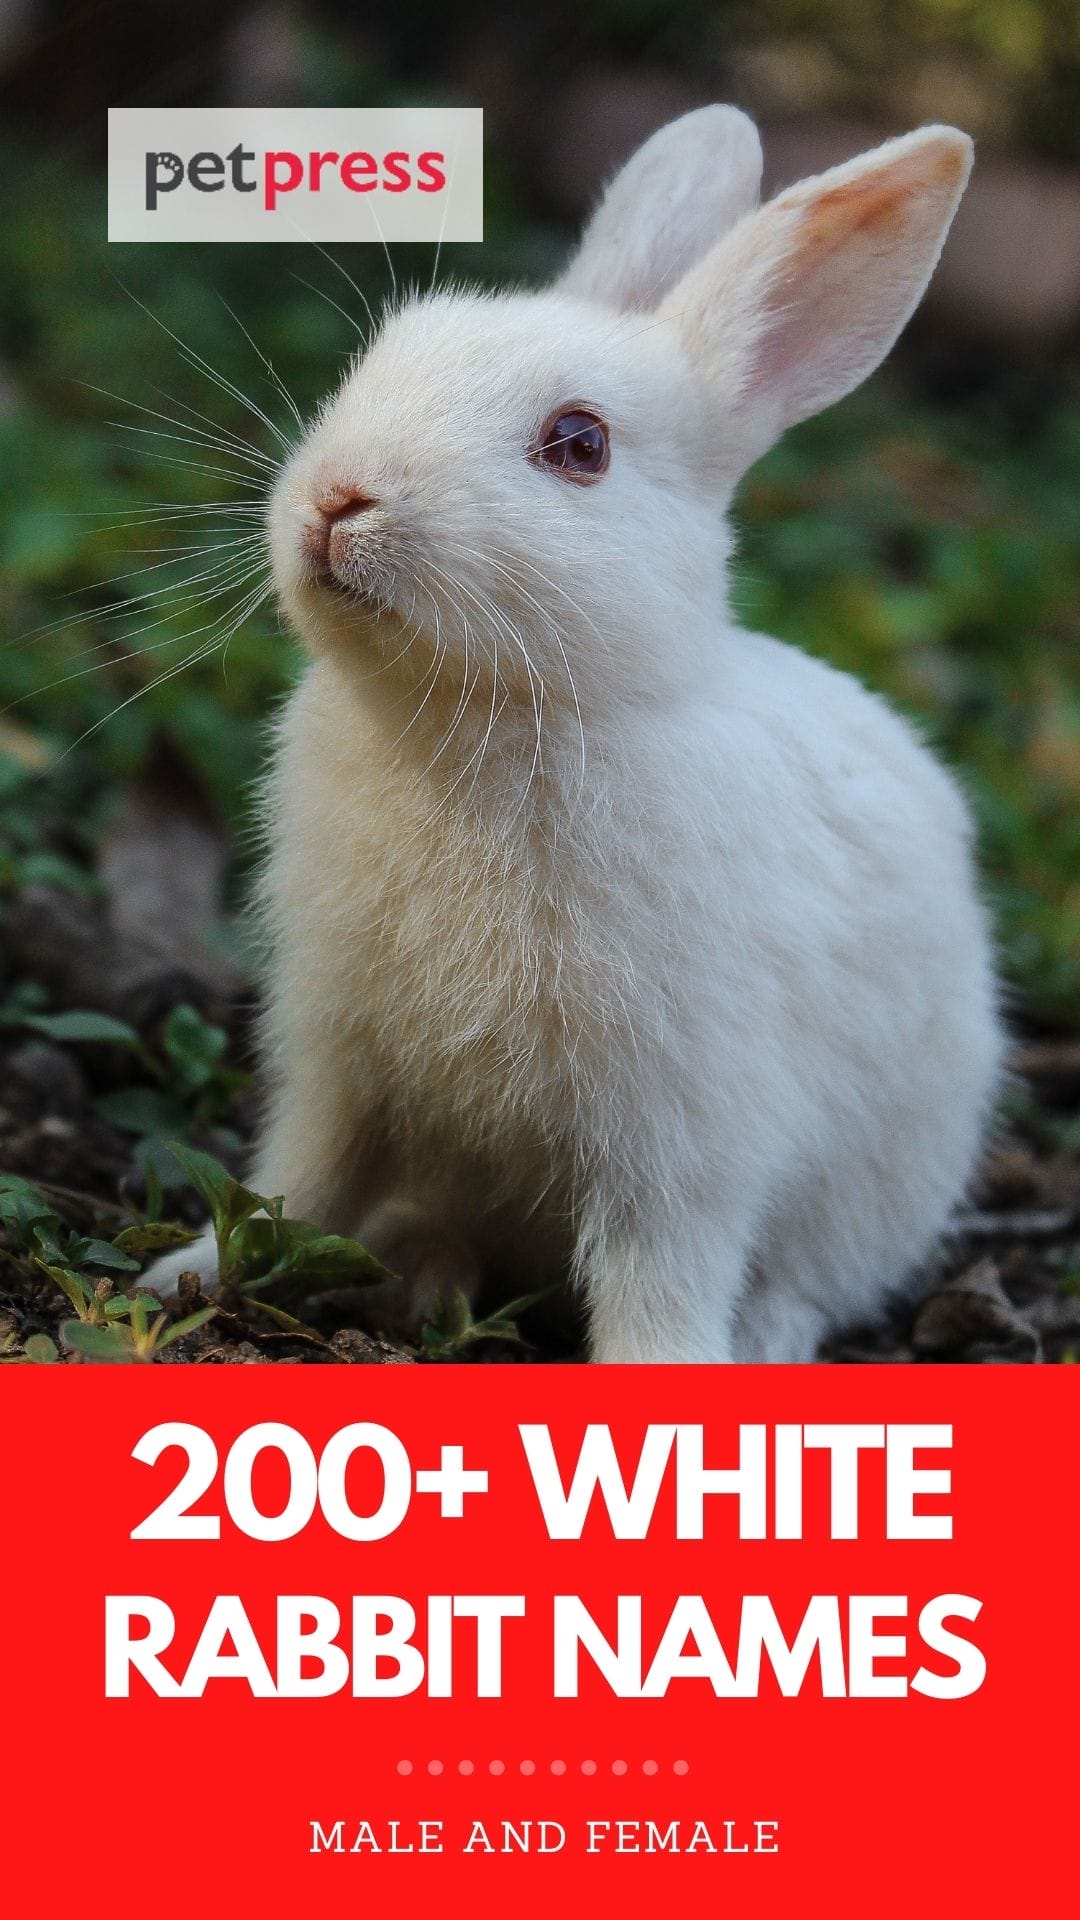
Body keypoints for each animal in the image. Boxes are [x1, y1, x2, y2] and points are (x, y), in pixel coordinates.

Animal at [151, 106, 1005, 1362]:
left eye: (579, 444)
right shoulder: (341, 1061)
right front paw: (189, 1273)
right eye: (380, 359)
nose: (337, 498)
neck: (491, 717)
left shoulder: (682, 1135)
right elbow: (297, 1181)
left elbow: (659, 1277)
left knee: (805, 1287)